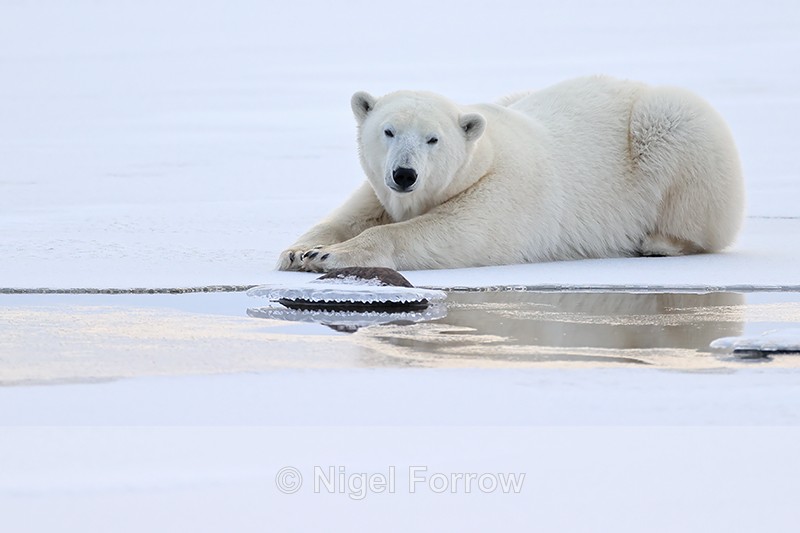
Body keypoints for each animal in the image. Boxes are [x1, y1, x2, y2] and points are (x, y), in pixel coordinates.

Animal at [277, 75, 745, 272]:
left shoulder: (501, 192)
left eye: (432, 139)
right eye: (388, 131)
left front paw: (328, 256)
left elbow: (449, 234)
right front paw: (300, 251)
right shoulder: (377, 190)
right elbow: (347, 217)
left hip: (669, 128)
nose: (405, 174)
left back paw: (658, 242)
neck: (482, 156)